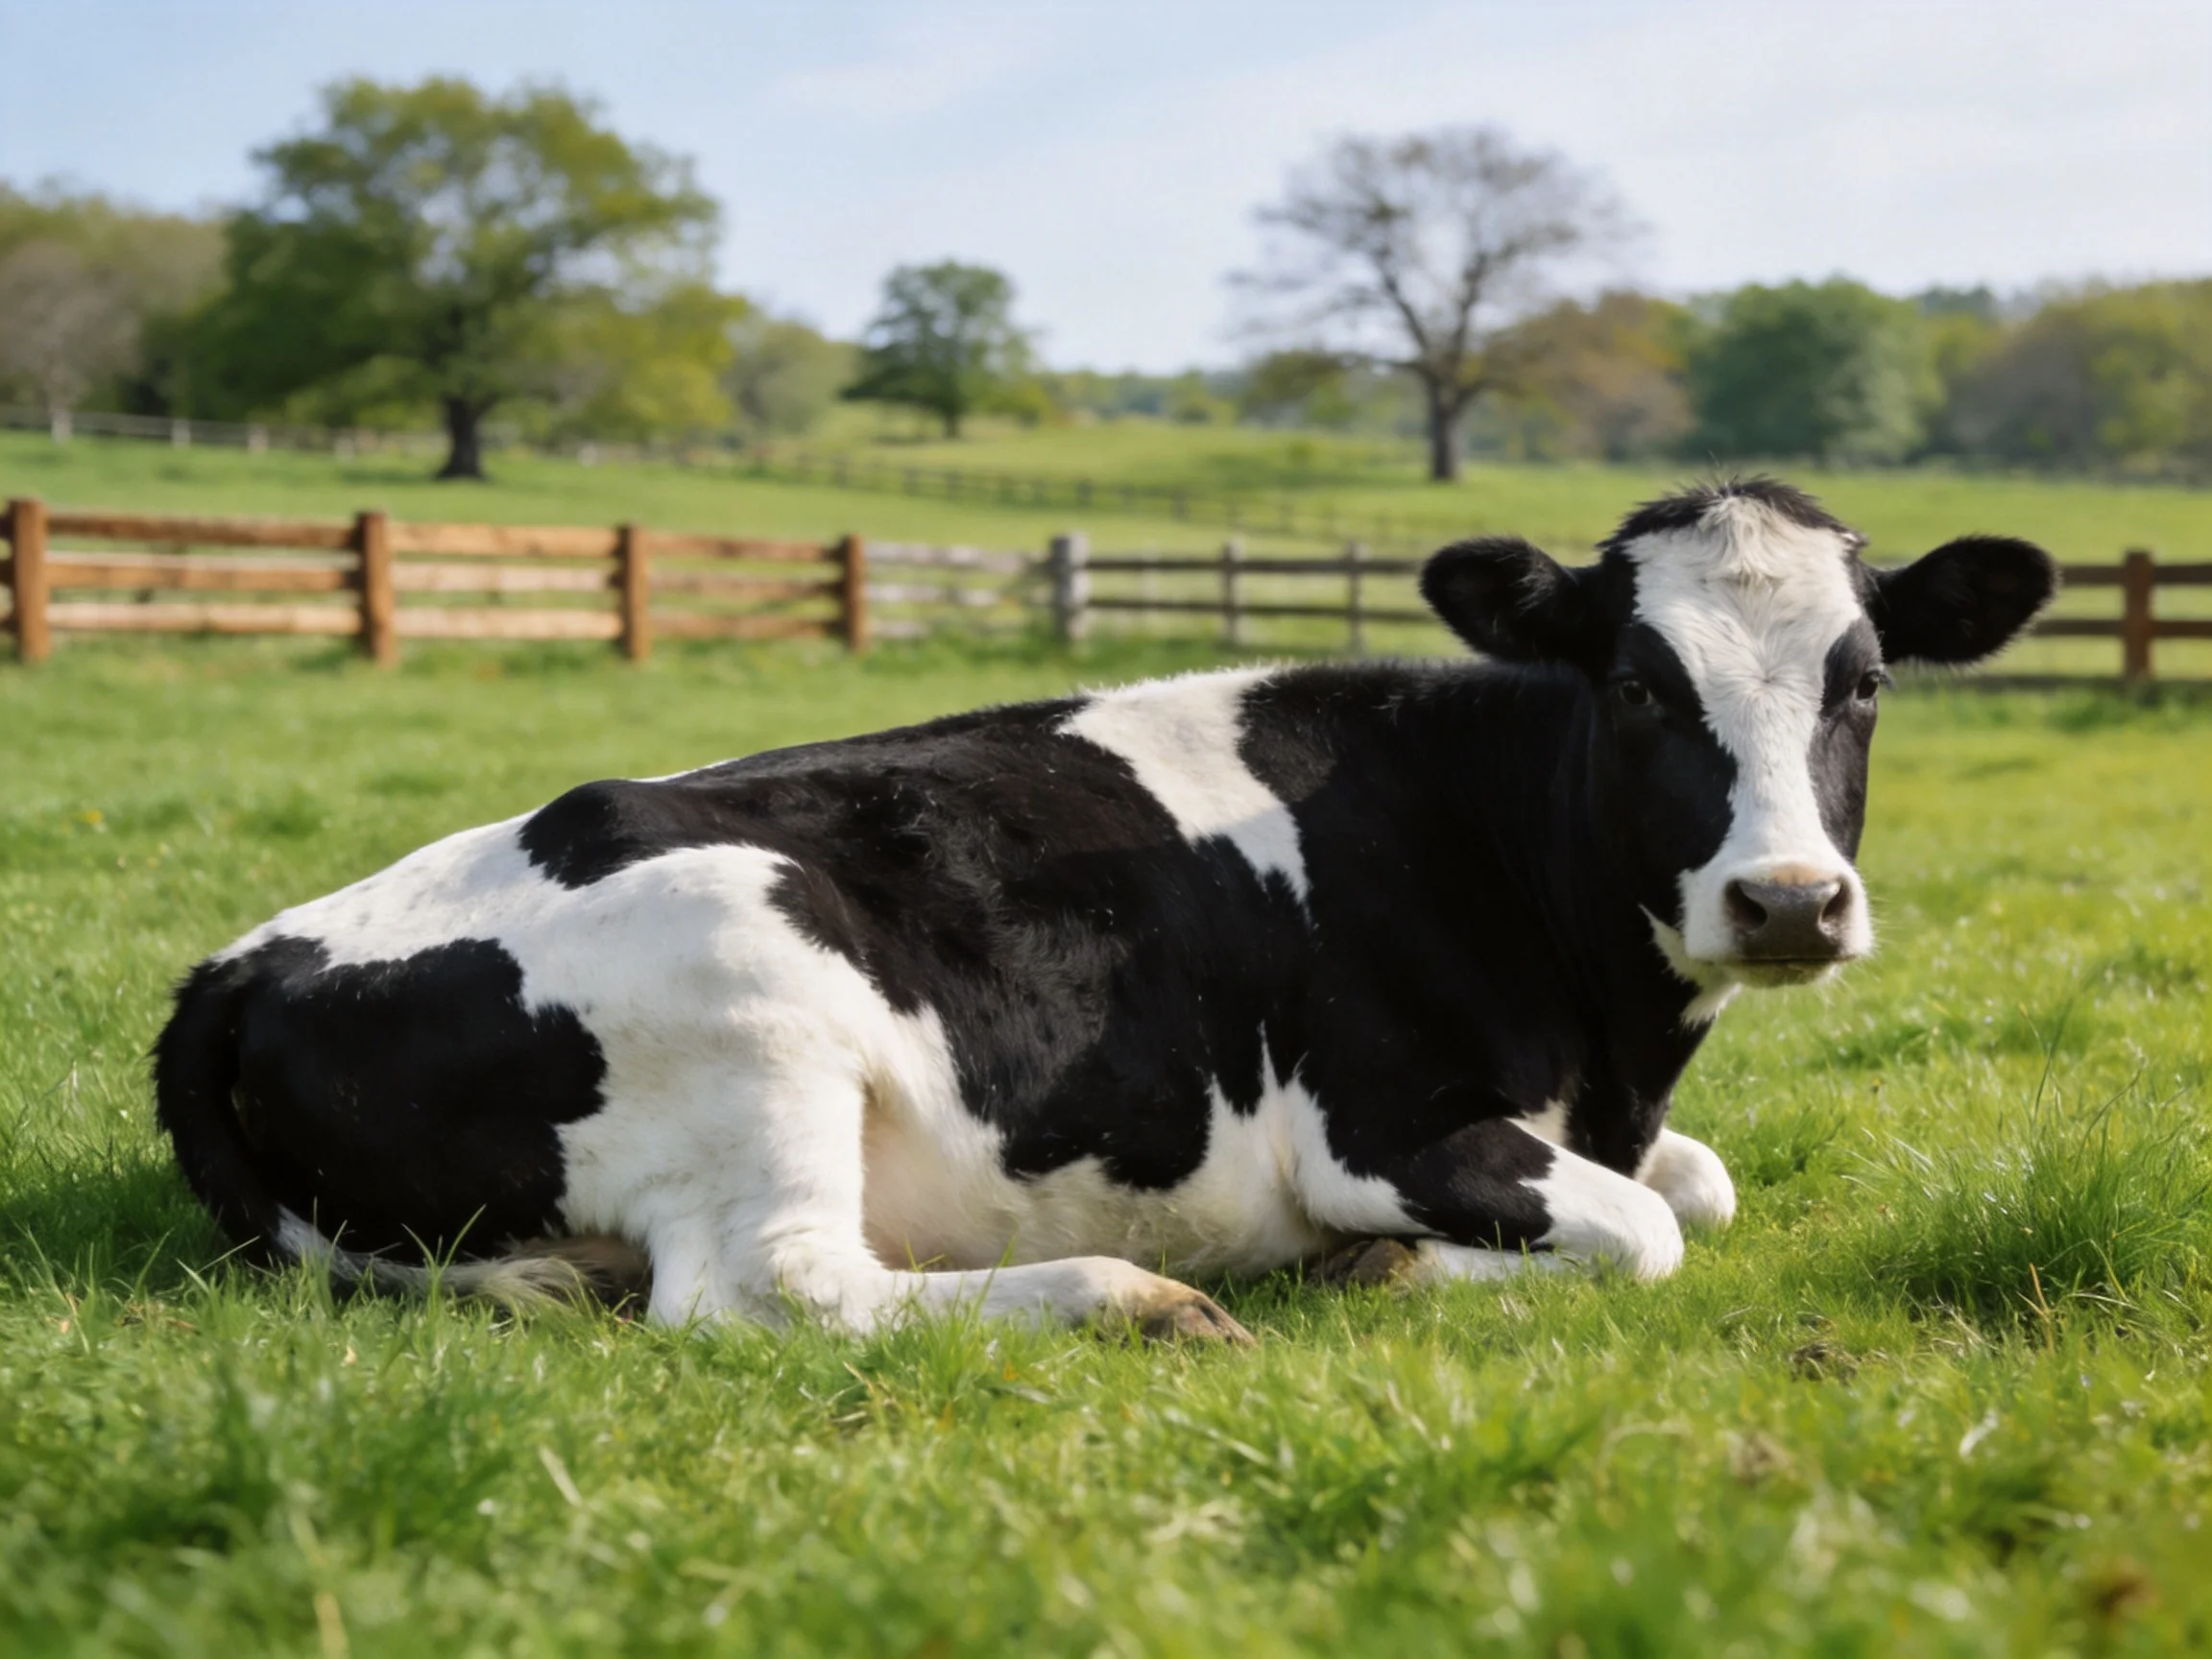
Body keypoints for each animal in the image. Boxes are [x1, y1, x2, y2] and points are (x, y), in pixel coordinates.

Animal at [153, 479, 2055, 1343]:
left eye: (1866, 680)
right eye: (1642, 686)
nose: (1788, 900)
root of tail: (242, 961)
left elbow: (1698, 1186)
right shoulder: (1381, 1121)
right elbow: (1650, 1229)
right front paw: (1392, 1266)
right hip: (747, 967)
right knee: (775, 1289)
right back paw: (1122, 1295)